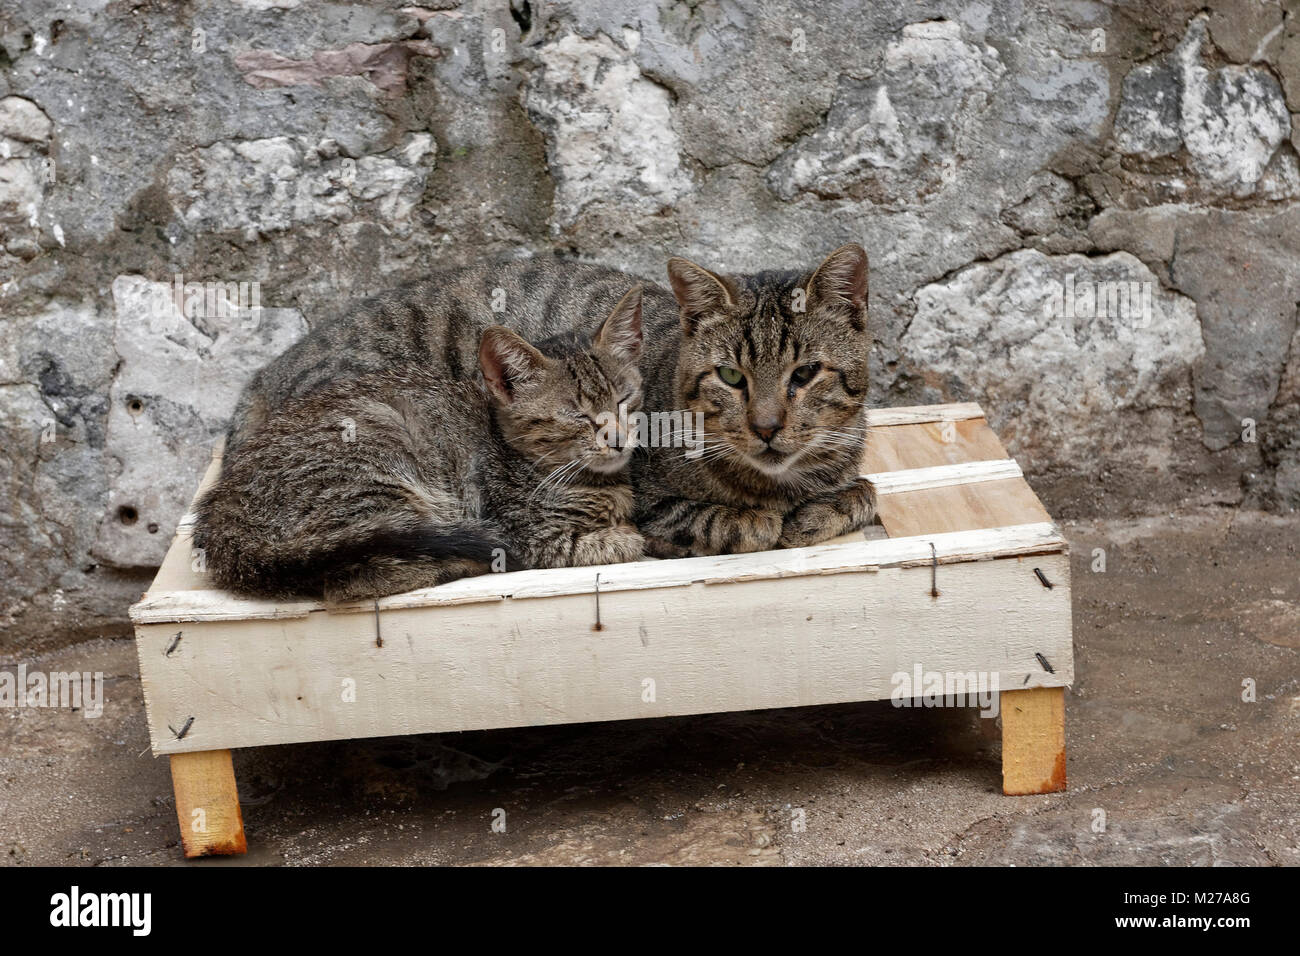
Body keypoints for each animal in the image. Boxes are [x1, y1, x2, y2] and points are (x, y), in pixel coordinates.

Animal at [195, 283, 647, 600]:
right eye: (577, 415)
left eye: (624, 400)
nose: (617, 438)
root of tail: (224, 519)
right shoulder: (527, 532)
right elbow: (612, 543)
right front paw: (624, 538)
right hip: (379, 465)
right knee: (351, 582)